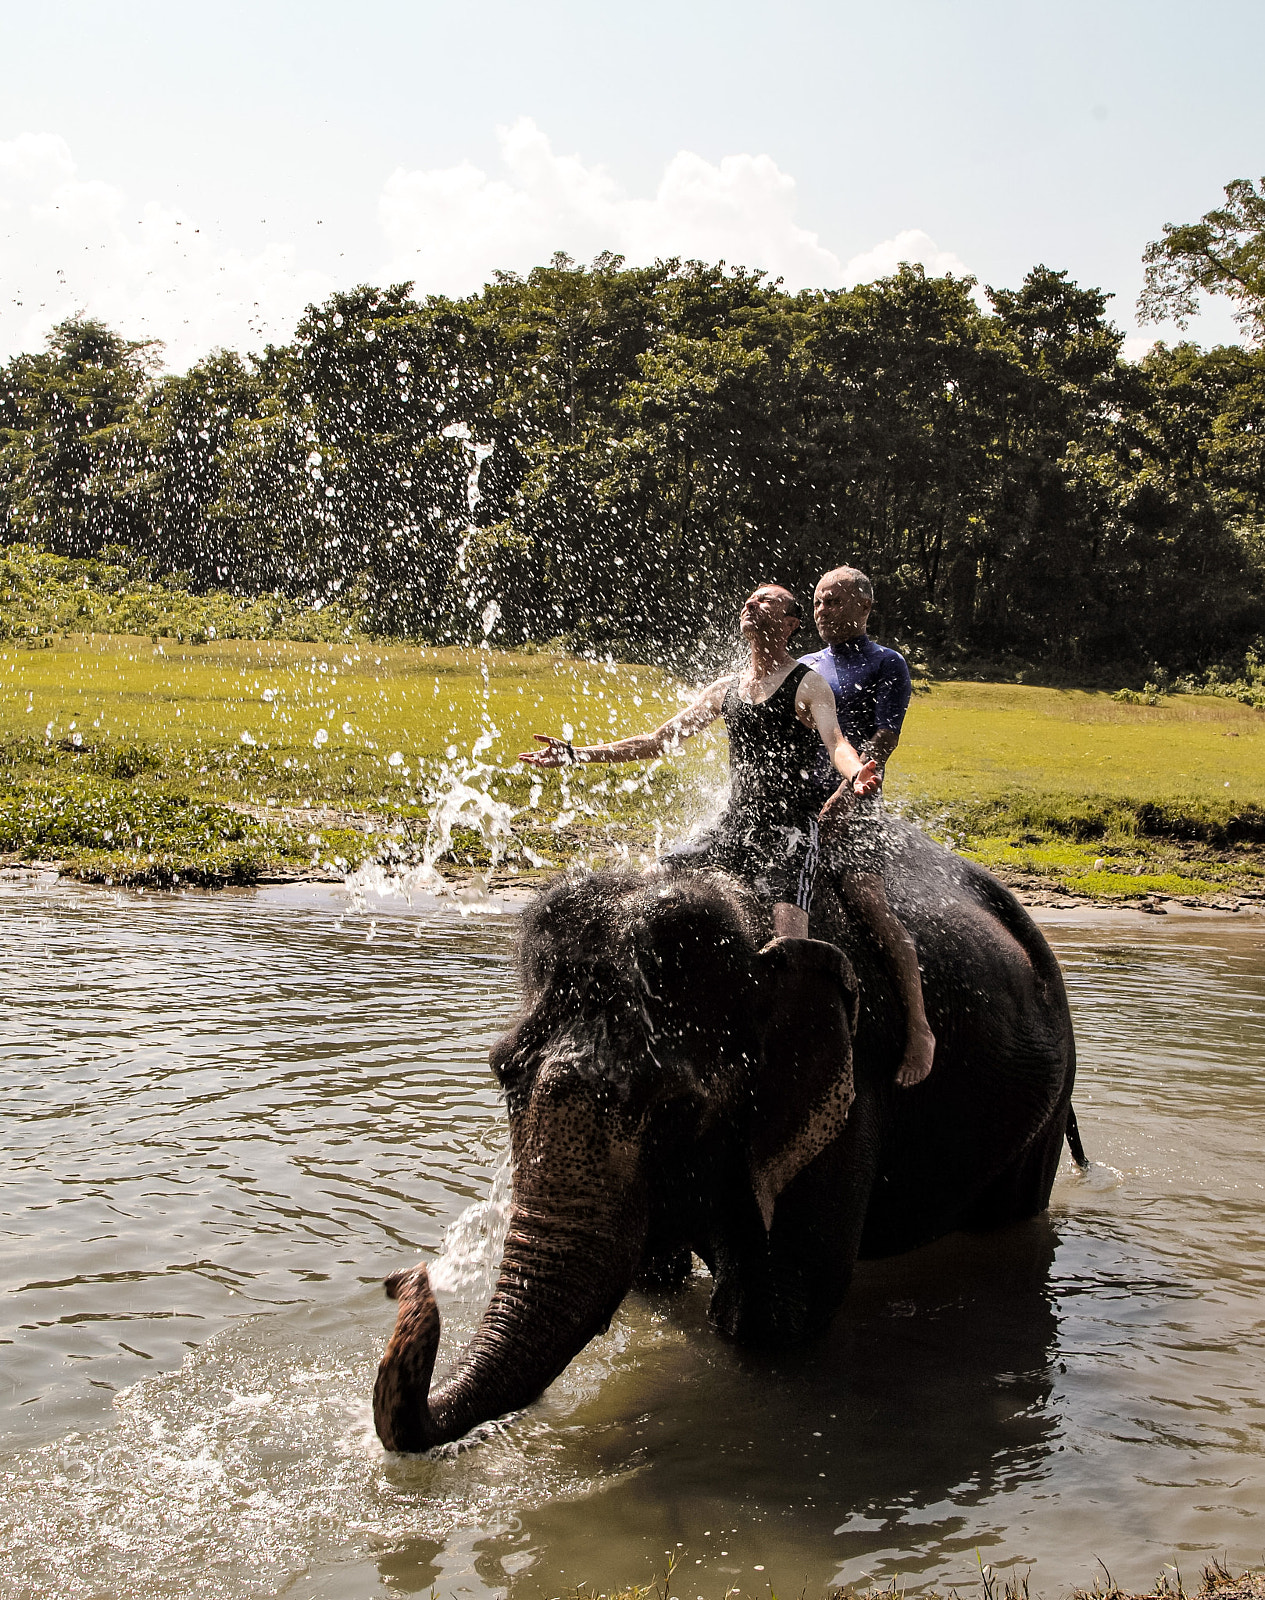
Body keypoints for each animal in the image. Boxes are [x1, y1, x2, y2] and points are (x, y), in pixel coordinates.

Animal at [373, 820, 1080, 1453]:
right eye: (502, 1070)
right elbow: (654, 1275)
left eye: (678, 1107)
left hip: (1047, 1103)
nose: (406, 1278)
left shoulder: (851, 1089)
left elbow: (774, 1314)